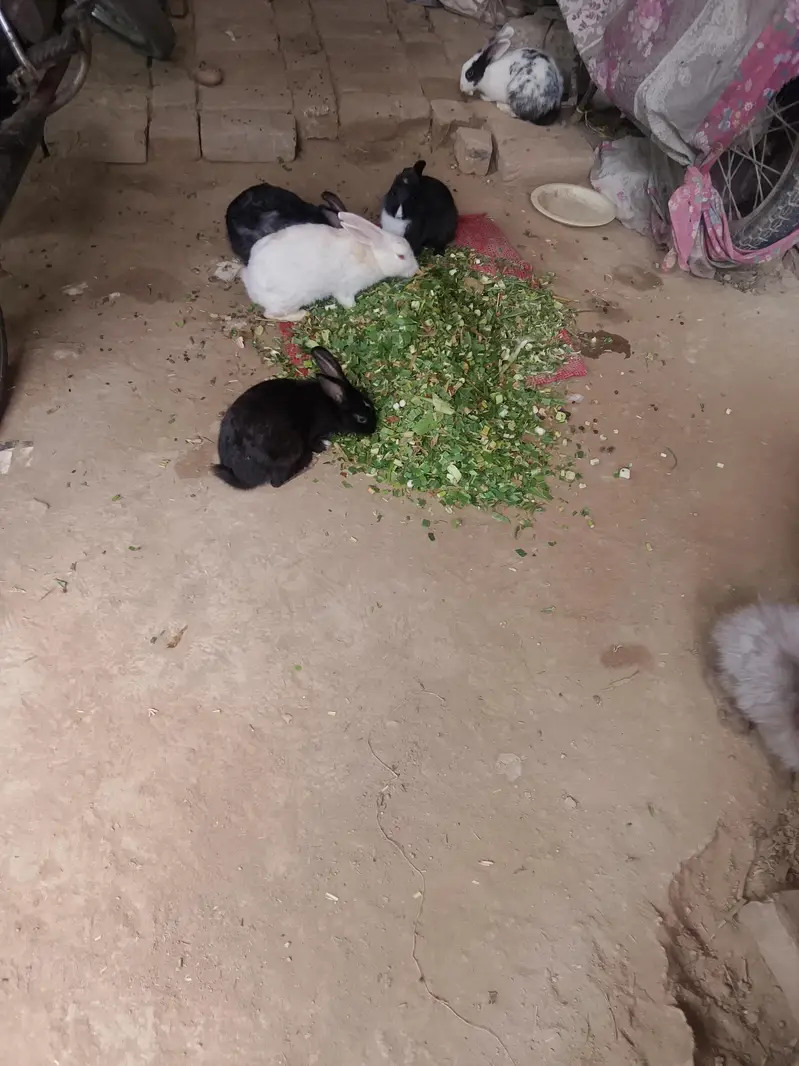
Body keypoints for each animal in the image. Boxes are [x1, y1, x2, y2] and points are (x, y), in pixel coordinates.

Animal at [213, 346, 377, 490]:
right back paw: (307, 463)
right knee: (276, 482)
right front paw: (324, 445)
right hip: (291, 449)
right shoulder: (315, 432)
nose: (374, 429)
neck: (332, 405)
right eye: (361, 418)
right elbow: (314, 444)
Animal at [241, 211, 419, 322]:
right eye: (401, 256)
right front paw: (354, 309)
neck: (372, 254)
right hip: (288, 300)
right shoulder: (346, 287)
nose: (416, 270)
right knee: (270, 314)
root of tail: (250, 283)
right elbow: (346, 301)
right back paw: (301, 315)